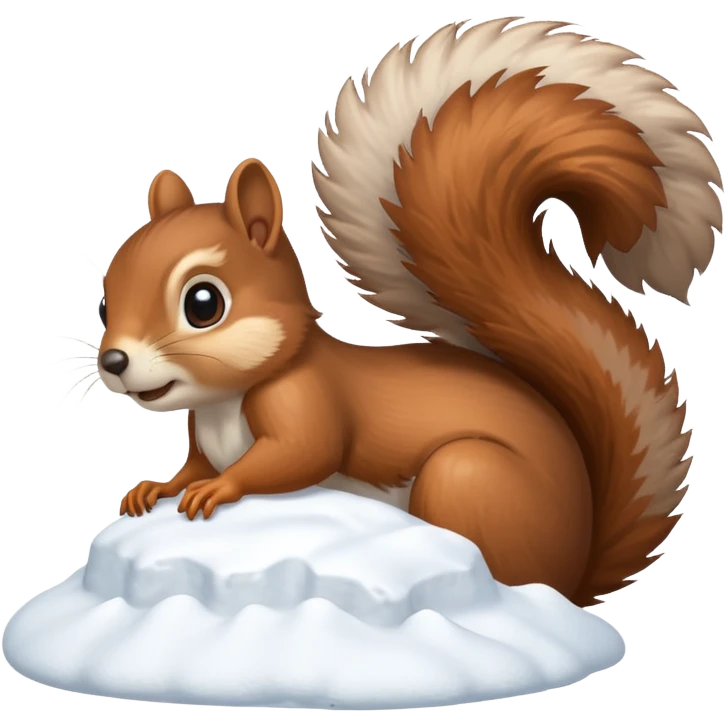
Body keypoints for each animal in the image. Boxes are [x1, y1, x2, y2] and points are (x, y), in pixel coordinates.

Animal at [96, 17, 723, 608]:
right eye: (104, 299)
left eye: (204, 304)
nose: (114, 362)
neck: (223, 404)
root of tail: (573, 570)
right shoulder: (204, 437)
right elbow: (195, 467)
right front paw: (156, 487)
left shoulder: (310, 400)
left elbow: (300, 455)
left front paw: (221, 489)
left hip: (467, 477)